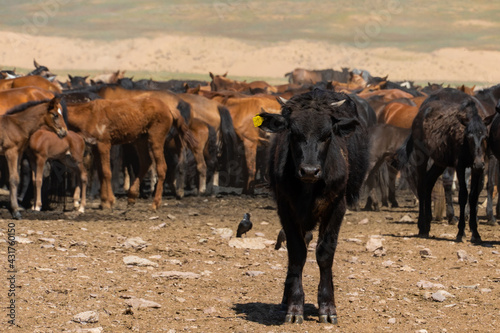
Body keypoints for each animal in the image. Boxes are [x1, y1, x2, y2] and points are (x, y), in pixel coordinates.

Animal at [258, 89, 368, 322]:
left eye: (327, 135)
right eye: (293, 133)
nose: (309, 171)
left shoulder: (337, 207)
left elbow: (325, 253)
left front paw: (327, 307)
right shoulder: (286, 208)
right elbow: (296, 253)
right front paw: (294, 307)